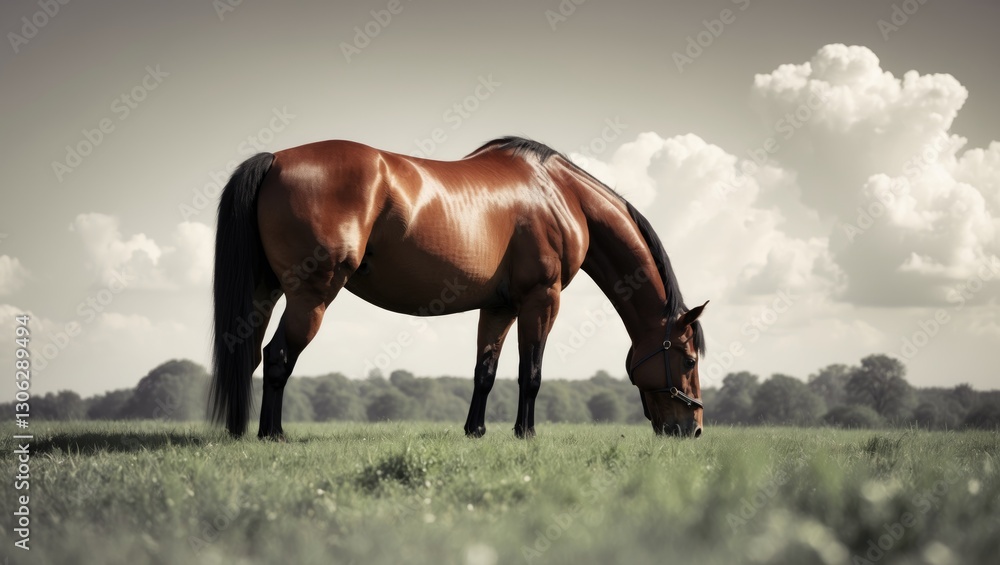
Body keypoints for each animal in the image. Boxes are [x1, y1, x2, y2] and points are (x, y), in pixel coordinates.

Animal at [210, 136, 707, 440]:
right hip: (311, 296)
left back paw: (240, 432)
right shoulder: (541, 299)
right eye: (688, 358)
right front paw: (525, 433)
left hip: (266, 293)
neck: (561, 194)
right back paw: (272, 434)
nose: (694, 428)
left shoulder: (500, 307)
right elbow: (531, 373)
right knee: (277, 356)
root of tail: (275, 159)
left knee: (249, 355)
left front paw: (476, 431)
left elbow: (485, 371)